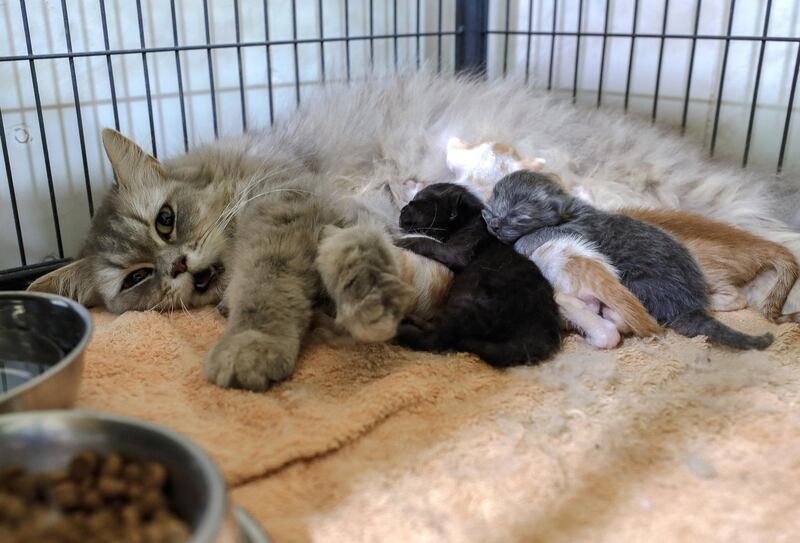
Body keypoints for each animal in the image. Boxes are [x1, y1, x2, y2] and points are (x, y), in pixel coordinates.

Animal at [396, 184, 564, 370]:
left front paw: (400, 241)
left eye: (417, 202)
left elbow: (426, 242)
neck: (469, 219)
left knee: (437, 336)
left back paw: (401, 328)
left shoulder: (458, 252)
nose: (403, 208)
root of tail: (541, 333)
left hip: (470, 301)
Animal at [484, 172, 772, 352]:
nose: (494, 224)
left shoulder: (577, 229)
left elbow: (539, 235)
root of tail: (690, 306)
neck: (572, 208)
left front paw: (523, 242)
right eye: (488, 209)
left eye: (518, 215)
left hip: (637, 285)